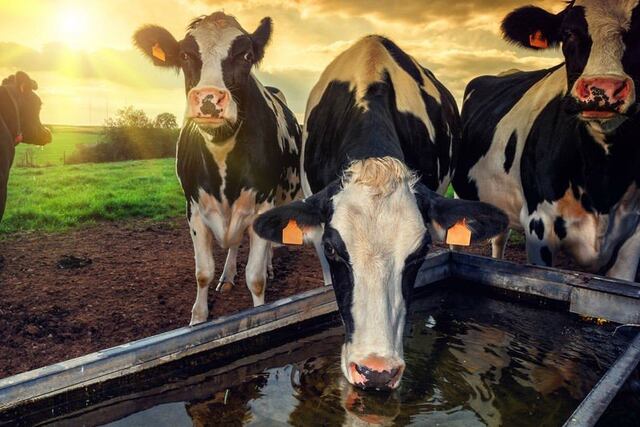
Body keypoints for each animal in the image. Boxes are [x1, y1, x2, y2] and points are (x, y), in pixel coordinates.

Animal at [133, 12, 301, 325]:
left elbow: (255, 278)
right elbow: (203, 273)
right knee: (233, 245)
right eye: (185, 55)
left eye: (246, 55)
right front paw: (198, 318)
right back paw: (227, 276)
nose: (209, 99)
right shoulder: (195, 209)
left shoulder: (262, 204)